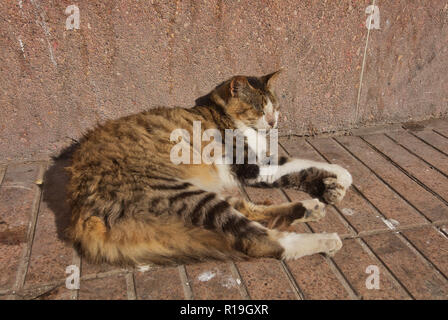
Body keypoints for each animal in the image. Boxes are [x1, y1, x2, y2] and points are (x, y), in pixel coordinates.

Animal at [67, 71, 354, 266]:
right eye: (259, 109)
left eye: (275, 107)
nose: (273, 122)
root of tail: (82, 216)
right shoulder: (253, 167)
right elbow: (300, 164)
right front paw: (340, 177)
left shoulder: (260, 163)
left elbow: (302, 166)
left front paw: (335, 184)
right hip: (185, 195)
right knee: (259, 239)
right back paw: (325, 239)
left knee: (248, 209)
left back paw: (309, 208)